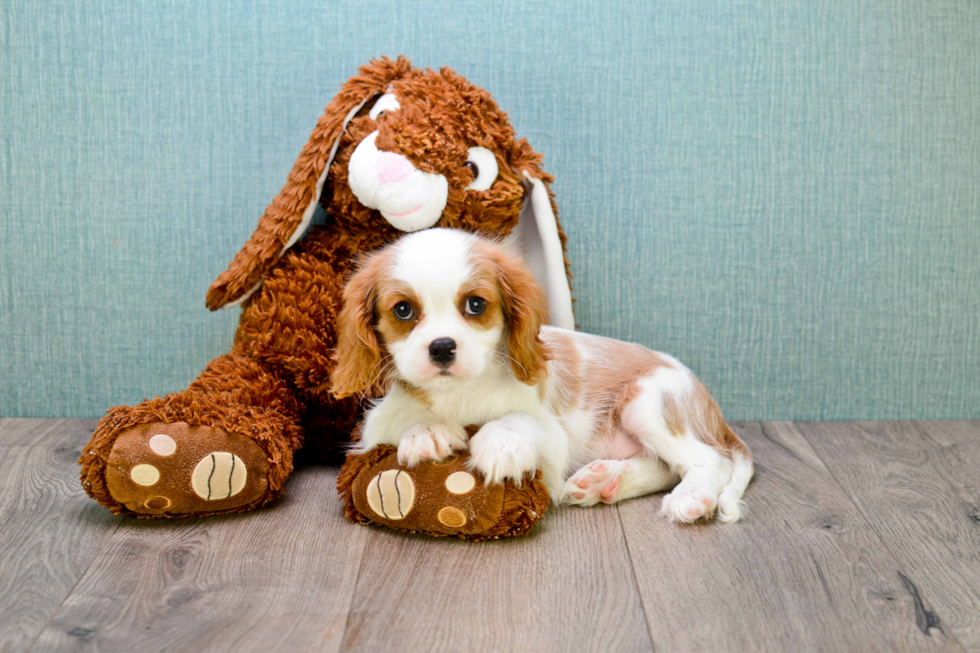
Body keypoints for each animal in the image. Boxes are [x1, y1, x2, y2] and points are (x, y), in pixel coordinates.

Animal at [330, 229, 752, 524]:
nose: (442, 347)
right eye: (403, 310)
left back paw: (691, 498)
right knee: (666, 468)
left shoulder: (550, 446)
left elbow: (521, 421)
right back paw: (605, 482)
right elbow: (399, 418)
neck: (461, 392)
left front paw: (501, 442)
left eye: (475, 304)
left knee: (711, 461)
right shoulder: (373, 429)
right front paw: (427, 431)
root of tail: (708, 400)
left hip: (647, 403)